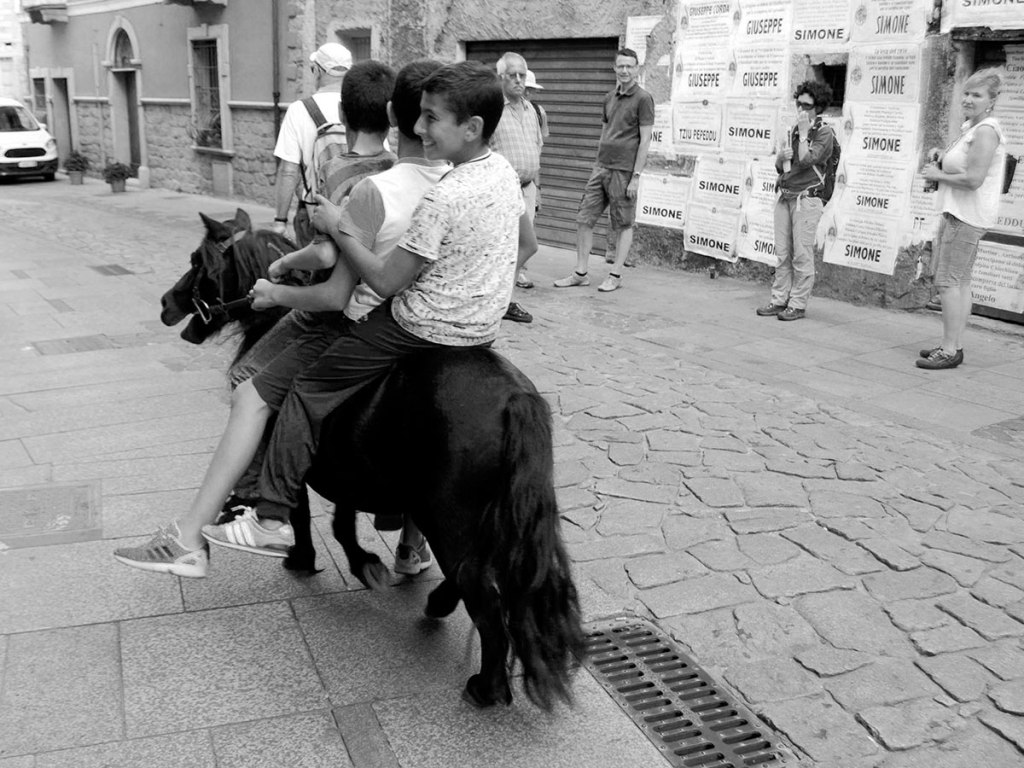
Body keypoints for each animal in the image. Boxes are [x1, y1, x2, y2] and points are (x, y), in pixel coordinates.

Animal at [160, 210, 583, 711]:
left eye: (197, 262)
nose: (166, 302)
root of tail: (516, 399)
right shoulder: (346, 465)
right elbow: (342, 521)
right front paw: (365, 564)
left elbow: (299, 510)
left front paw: (302, 557)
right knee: (474, 578)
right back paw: (436, 602)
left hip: (451, 519)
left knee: (483, 596)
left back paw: (486, 687)